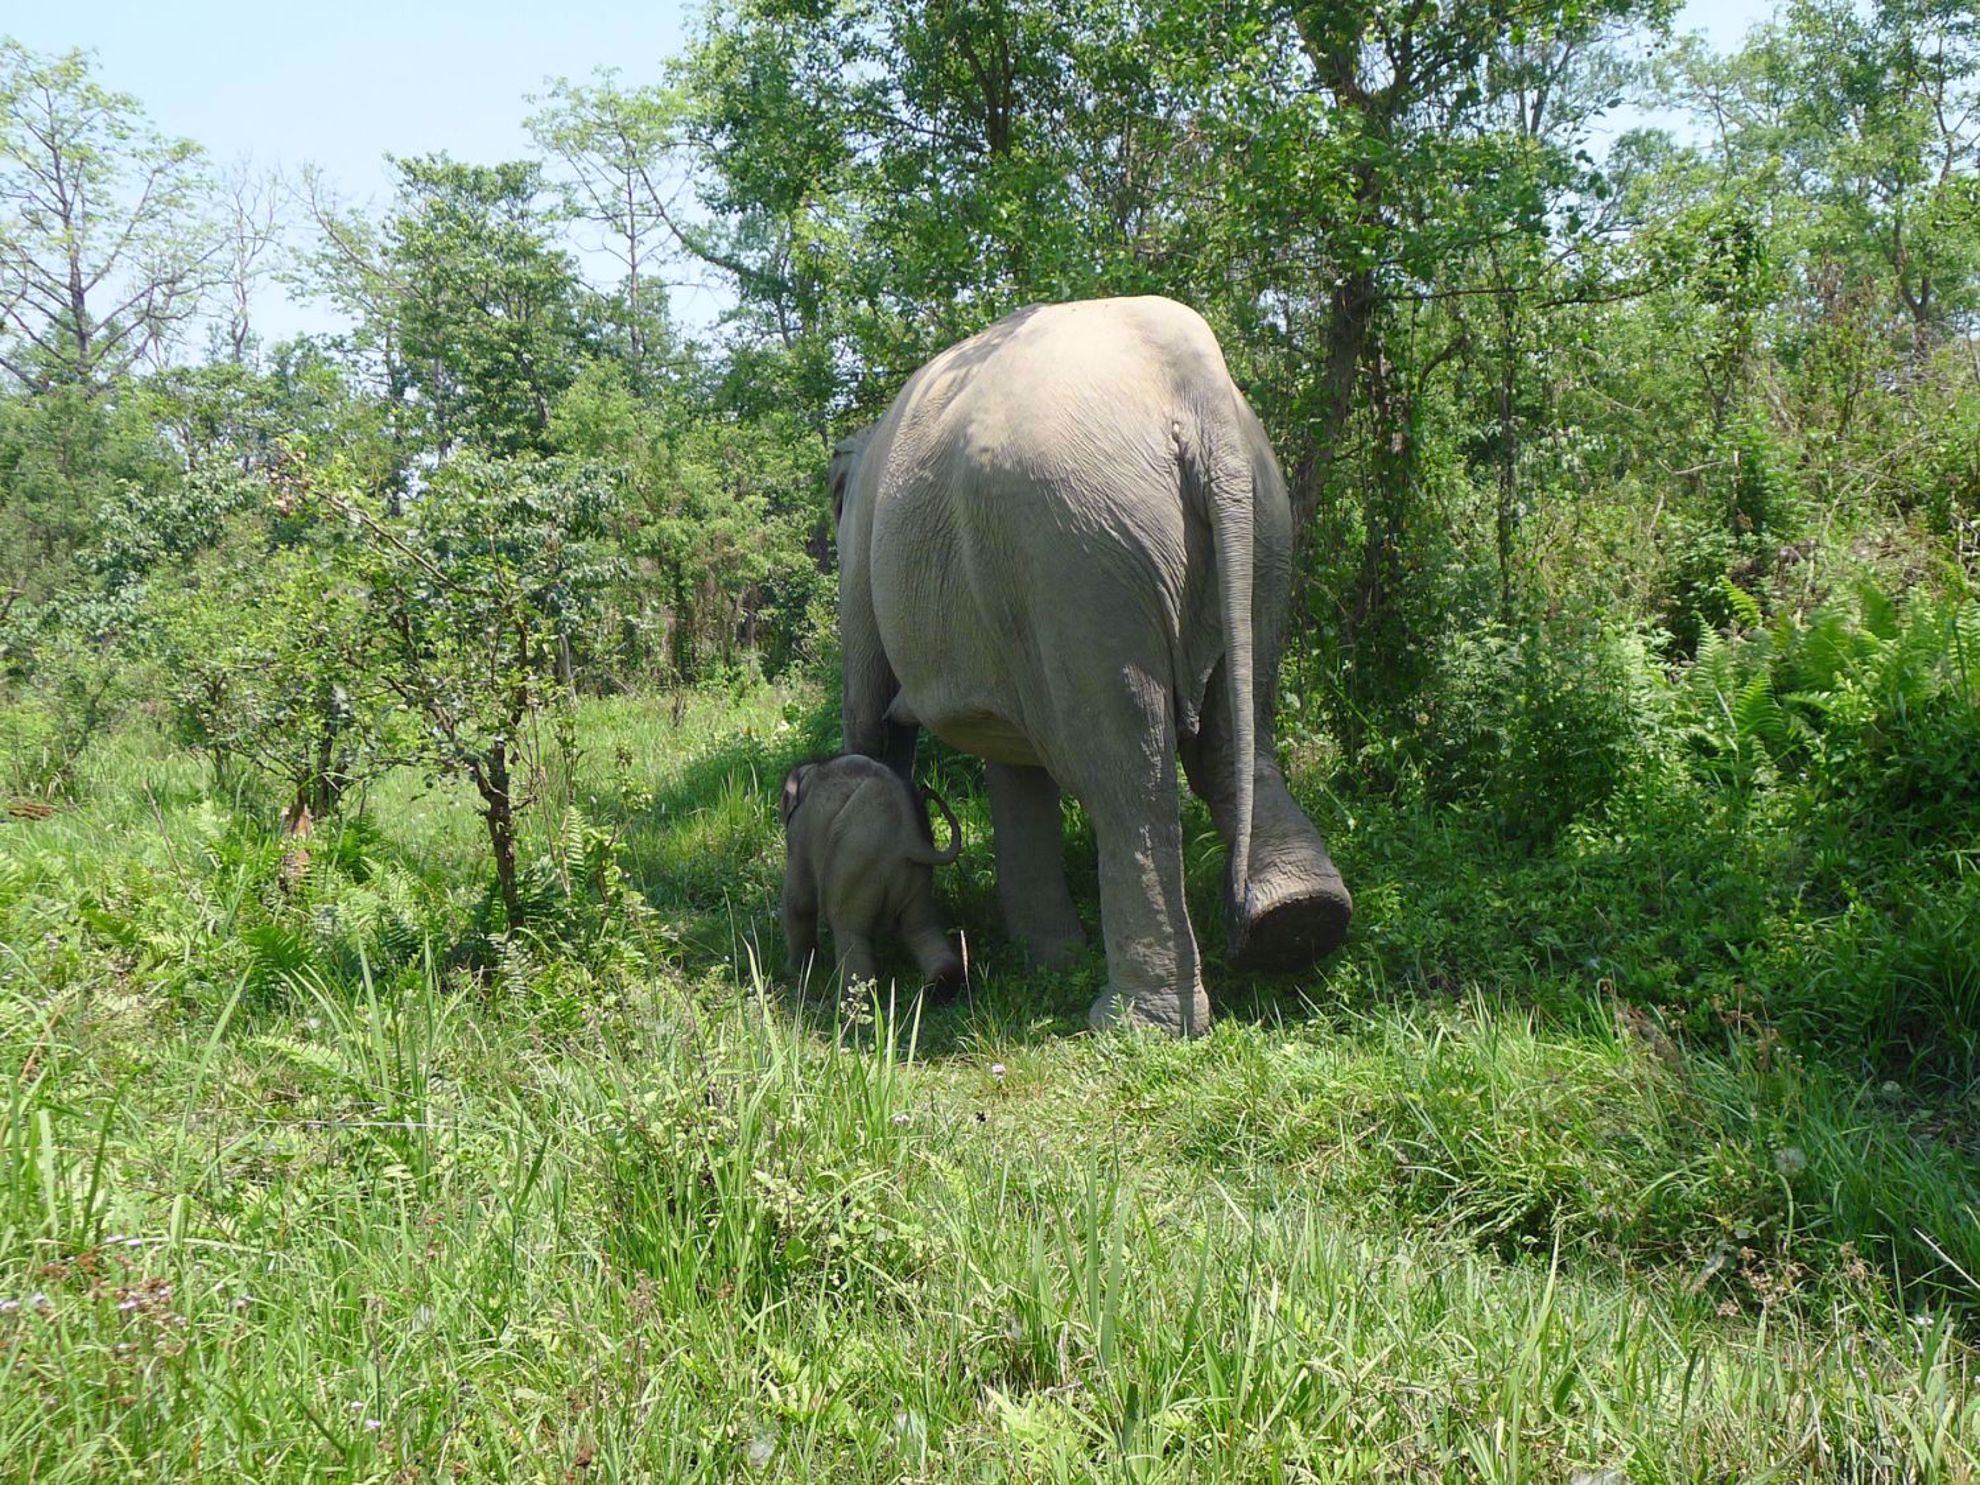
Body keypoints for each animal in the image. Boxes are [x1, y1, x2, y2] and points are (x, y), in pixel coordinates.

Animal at [776, 760, 962, 993]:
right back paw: (943, 982)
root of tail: (908, 839)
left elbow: (800, 902)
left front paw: (793, 970)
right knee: (922, 927)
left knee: (849, 929)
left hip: (853, 868)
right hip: (917, 877)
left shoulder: (799, 832)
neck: (810, 772)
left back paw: (850, 995)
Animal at [827, 293, 1354, 1037]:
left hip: (1078, 551)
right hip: (1258, 531)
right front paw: (1048, 958)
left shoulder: (861, 565)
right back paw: (1294, 926)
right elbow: (1011, 762)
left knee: (1124, 776)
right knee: (1235, 740)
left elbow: (874, 723)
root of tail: (1195, 387)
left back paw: (1132, 1023)